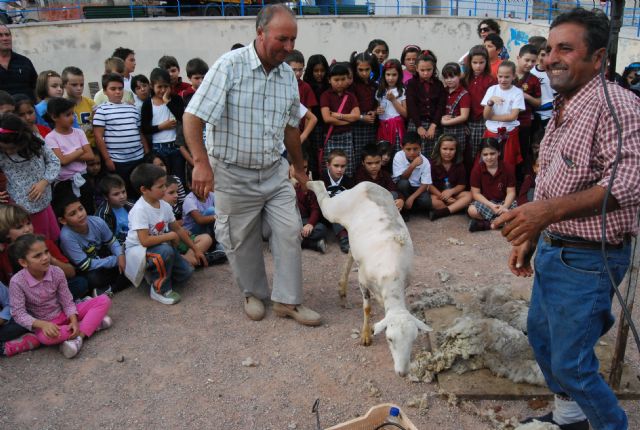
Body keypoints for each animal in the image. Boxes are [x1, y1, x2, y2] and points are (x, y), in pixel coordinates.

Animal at [304, 180, 430, 374]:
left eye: (413, 340)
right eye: (389, 339)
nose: (402, 372)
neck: (393, 278)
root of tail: (366, 183)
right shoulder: (363, 280)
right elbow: (367, 308)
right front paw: (365, 335)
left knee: (350, 252)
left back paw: (342, 289)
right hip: (337, 207)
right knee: (324, 197)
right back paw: (308, 182)